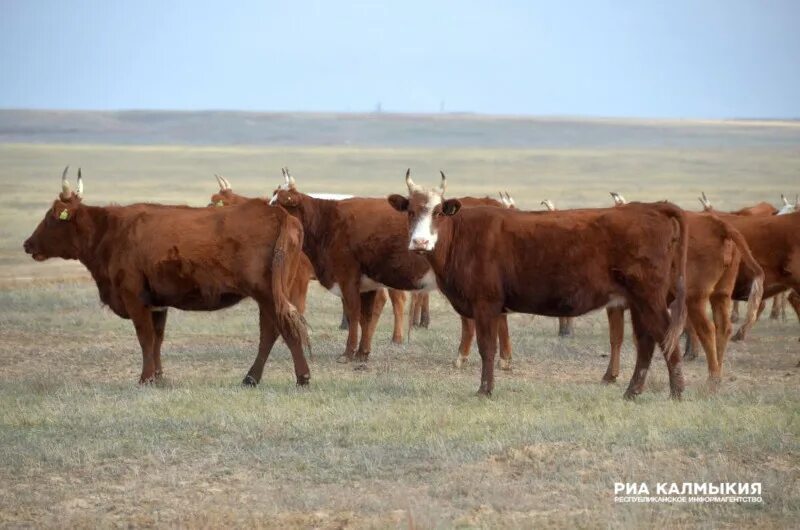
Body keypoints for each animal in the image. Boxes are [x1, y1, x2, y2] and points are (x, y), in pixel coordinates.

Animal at [23, 166, 310, 384]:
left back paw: (301, 377)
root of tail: (276, 212)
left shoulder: (134, 298)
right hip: (277, 294)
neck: (112, 230)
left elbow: (145, 338)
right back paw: (252, 378)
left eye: (51, 217)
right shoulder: (157, 303)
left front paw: (145, 378)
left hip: (267, 294)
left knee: (280, 329)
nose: (27, 244)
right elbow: (157, 340)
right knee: (272, 331)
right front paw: (158, 377)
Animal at [388, 170, 688, 396]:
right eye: (410, 211)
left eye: (438, 212)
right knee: (646, 344)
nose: (420, 242)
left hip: (649, 299)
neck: (463, 236)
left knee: (665, 339)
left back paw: (676, 392)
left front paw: (485, 390)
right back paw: (632, 392)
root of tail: (651, 208)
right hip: (638, 303)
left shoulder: (485, 305)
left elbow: (487, 348)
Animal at [608, 192, 764, 382]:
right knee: (723, 328)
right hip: (720, 295)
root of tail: (719, 226)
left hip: (695, 299)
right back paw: (718, 373)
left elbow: (617, 337)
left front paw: (610, 375)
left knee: (707, 330)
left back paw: (712, 377)